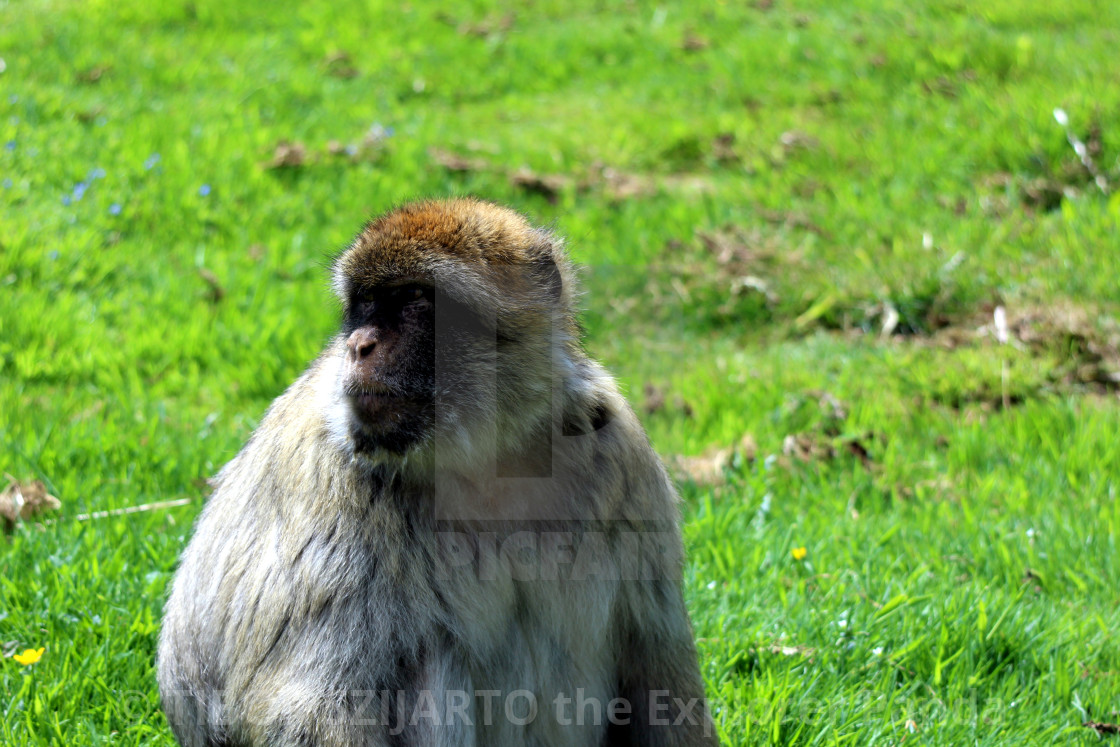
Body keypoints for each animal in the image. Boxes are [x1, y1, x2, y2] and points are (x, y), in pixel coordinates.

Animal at [157, 195, 716, 743]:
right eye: (363, 304)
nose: (358, 344)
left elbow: (658, 673)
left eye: (412, 299)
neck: (488, 457)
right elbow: (311, 708)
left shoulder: (621, 454)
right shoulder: (337, 482)